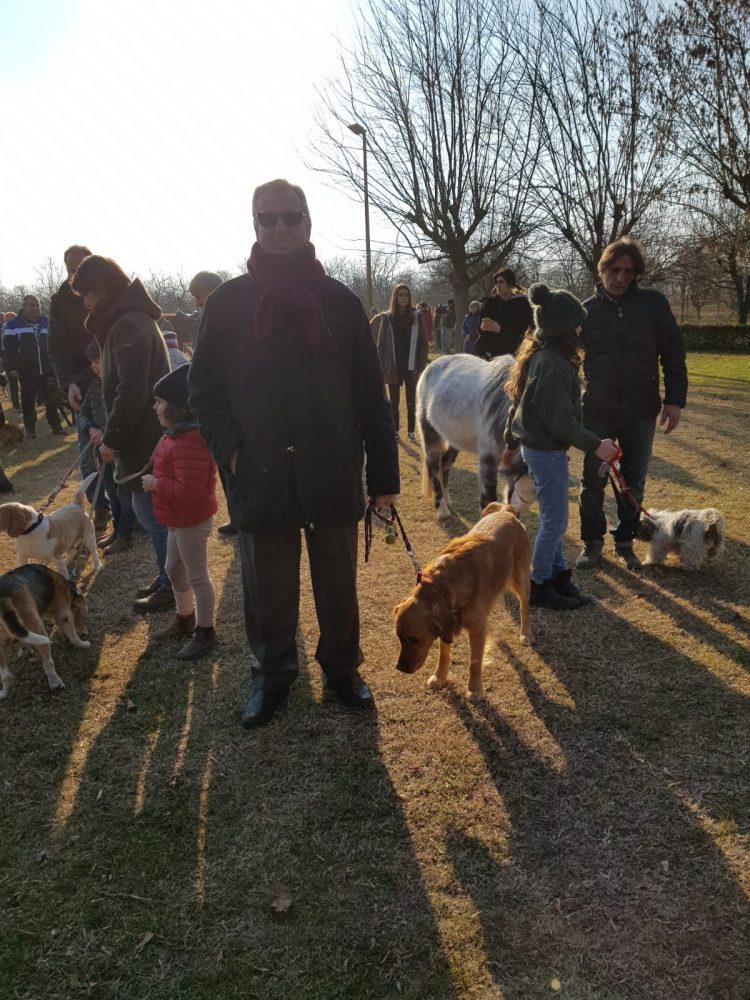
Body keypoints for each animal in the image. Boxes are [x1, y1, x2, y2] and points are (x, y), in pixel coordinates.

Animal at [0, 568, 90, 700]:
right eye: (83, 614)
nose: (85, 634)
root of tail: (3, 600)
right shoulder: (66, 615)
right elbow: (74, 636)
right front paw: (82, 644)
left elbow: (24, 641)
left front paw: (25, 650)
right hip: (39, 628)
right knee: (48, 662)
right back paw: (55, 683)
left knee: (6, 675)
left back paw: (3, 693)